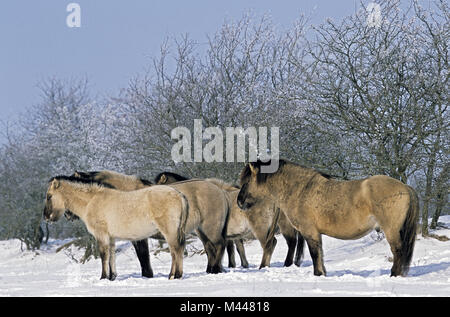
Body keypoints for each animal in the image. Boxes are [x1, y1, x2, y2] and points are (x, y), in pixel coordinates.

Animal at [43, 175, 188, 278]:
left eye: (49, 196)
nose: (46, 217)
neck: (91, 201)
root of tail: (179, 194)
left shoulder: (101, 236)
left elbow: (103, 255)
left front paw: (103, 277)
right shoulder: (111, 237)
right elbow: (111, 256)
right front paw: (111, 277)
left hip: (169, 232)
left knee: (175, 250)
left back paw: (174, 275)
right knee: (177, 250)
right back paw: (175, 275)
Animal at [156, 172, 304, 268]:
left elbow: (212, 250)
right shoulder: (230, 236)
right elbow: (234, 250)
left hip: (266, 227)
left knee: (276, 243)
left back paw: (267, 266)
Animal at [237, 159, 420, 276]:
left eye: (246, 182)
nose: (239, 202)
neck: (301, 190)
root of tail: (405, 187)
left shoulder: (310, 232)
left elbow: (315, 254)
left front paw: (318, 274)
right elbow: (319, 253)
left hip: (391, 230)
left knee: (398, 250)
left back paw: (394, 274)